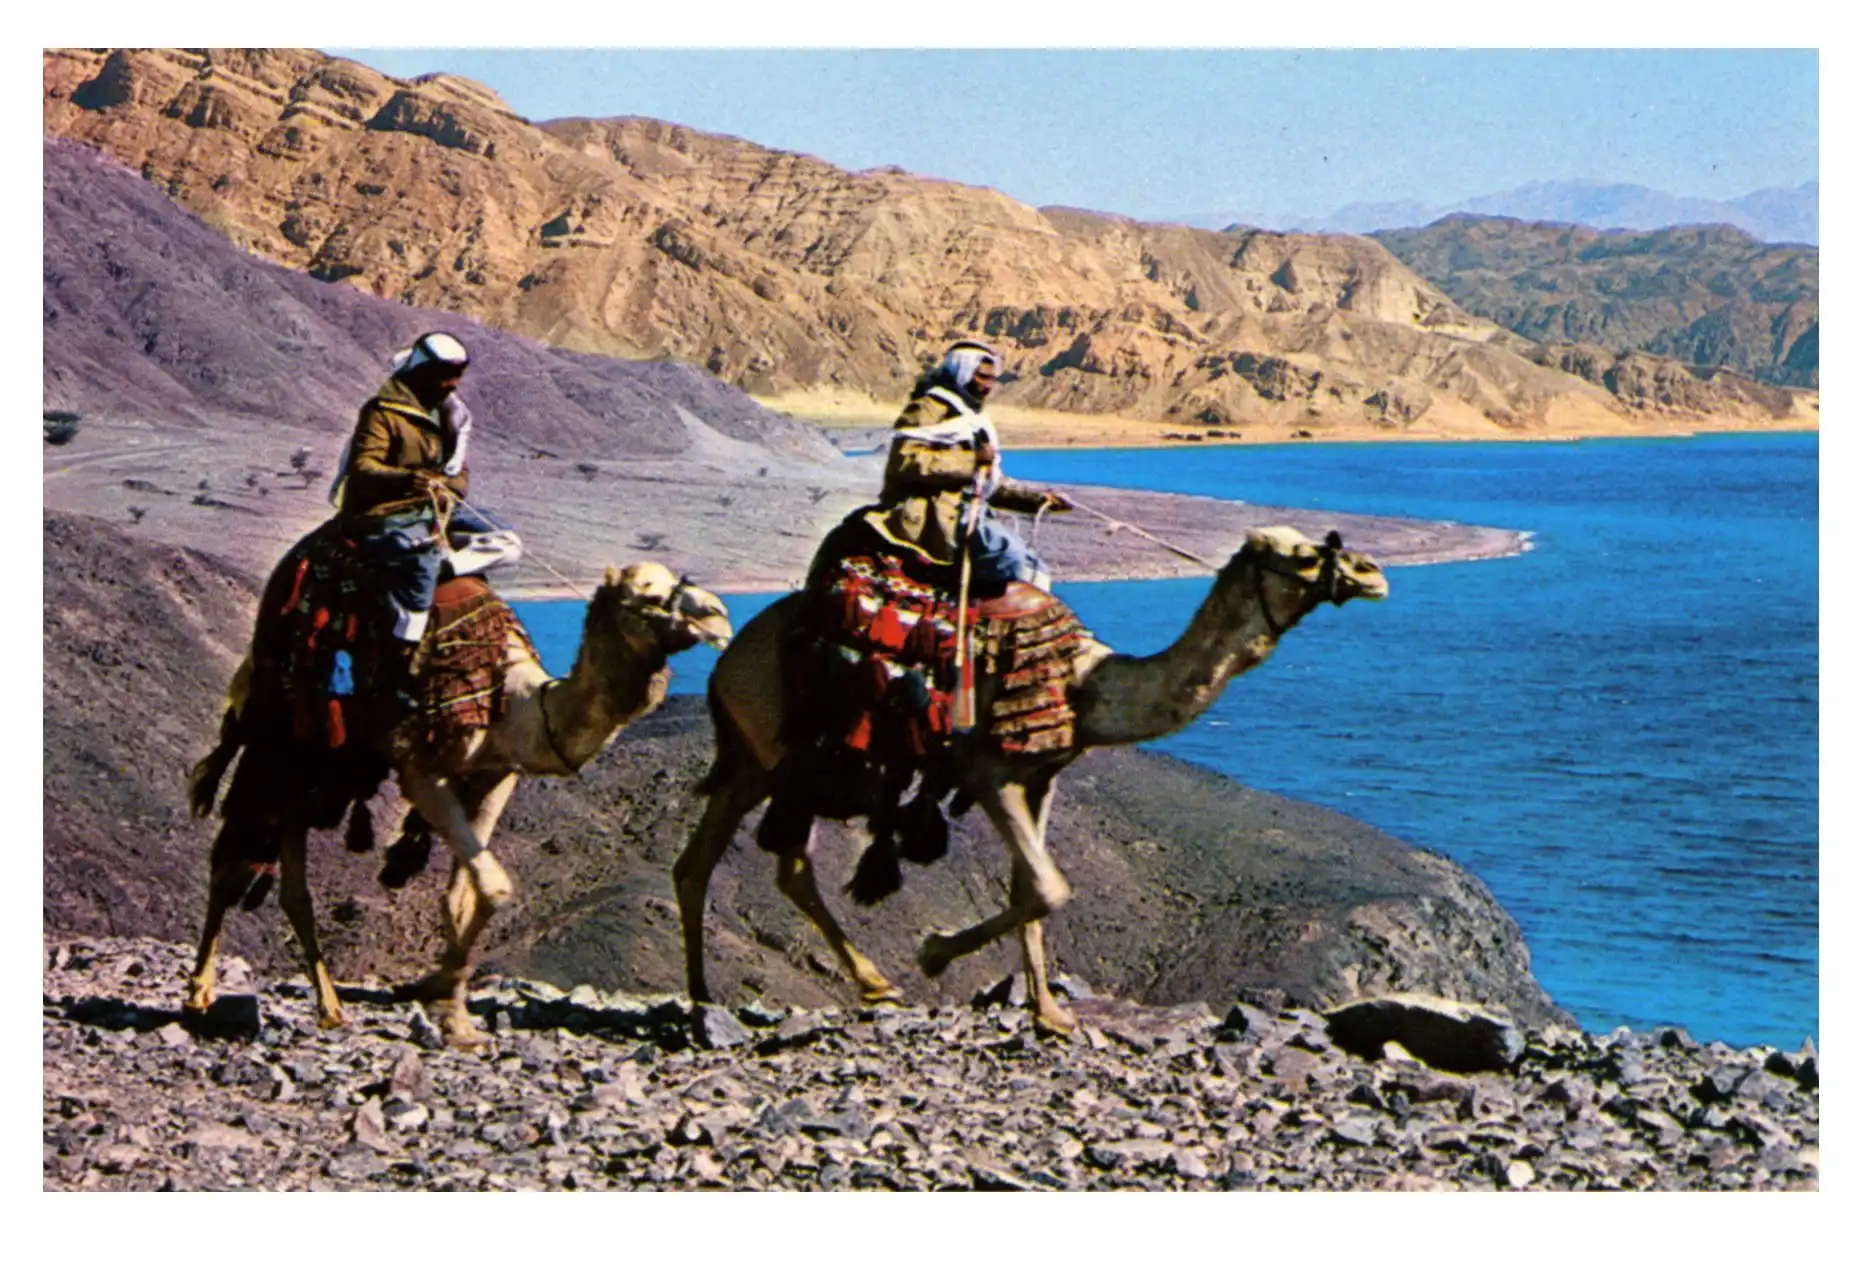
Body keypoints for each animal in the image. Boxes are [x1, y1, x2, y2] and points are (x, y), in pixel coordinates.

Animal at [185, 562, 731, 1047]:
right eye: (648, 592)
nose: (720, 617)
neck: (518, 704)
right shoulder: (423, 771)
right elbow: (493, 888)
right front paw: (445, 1003)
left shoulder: (494, 776)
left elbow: (464, 896)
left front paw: (443, 999)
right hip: (278, 753)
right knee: (229, 863)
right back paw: (199, 994)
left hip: (318, 777)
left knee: (288, 883)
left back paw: (329, 1007)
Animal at [673, 525, 1387, 1036]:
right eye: (1303, 553)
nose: (1373, 574)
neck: (1085, 683)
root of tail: (726, 660)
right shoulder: (991, 773)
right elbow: (1049, 887)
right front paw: (935, 953)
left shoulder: (1043, 779)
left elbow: (1031, 887)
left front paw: (1050, 1013)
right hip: (781, 756)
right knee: (775, 863)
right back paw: (855, 984)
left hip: (759, 763)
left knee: (712, 862)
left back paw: (710, 993)